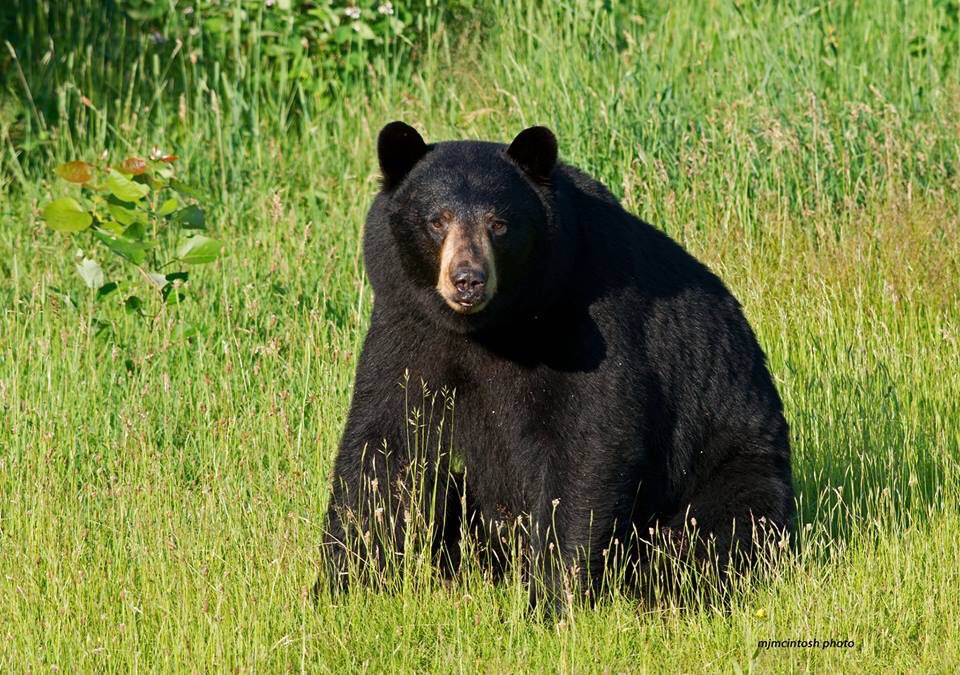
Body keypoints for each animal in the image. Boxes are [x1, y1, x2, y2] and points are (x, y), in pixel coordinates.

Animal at [321, 121, 794, 614]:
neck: (492, 329)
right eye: (437, 220)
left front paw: (550, 598)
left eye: (499, 224)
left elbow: (588, 442)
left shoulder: (587, 322)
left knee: (722, 529)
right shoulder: (409, 325)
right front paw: (343, 584)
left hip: (733, 467)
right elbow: (385, 443)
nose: (468, 280)